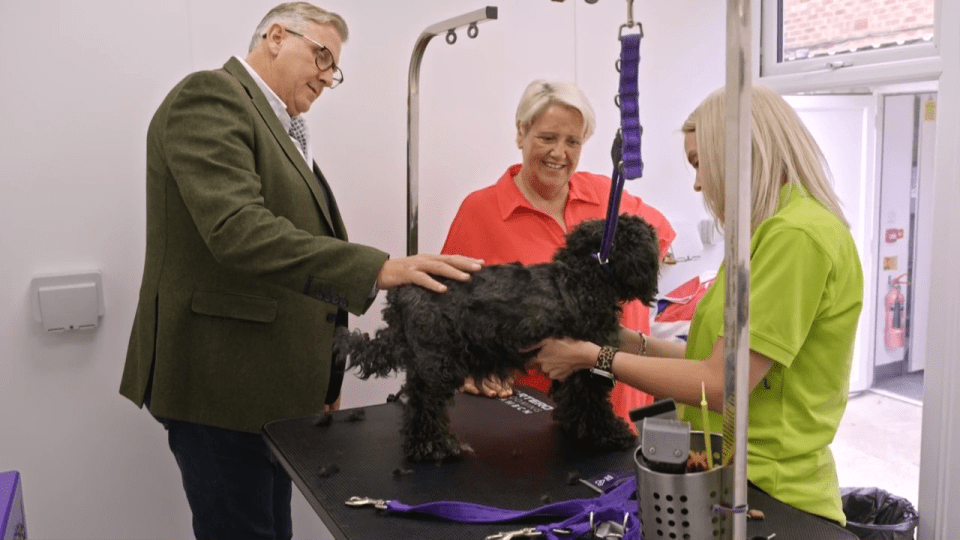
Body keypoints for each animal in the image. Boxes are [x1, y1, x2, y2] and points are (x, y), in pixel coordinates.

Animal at [336, 213, 660, 462]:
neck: (587, 274)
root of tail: (402, 296)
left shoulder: (571, 368)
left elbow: (573, 400)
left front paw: (574, 429)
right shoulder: (585, 366)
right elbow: (592, 404)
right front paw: (610, 435)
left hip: (425, 364)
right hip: (437, 365)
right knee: (425, 407)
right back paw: (433, 448)